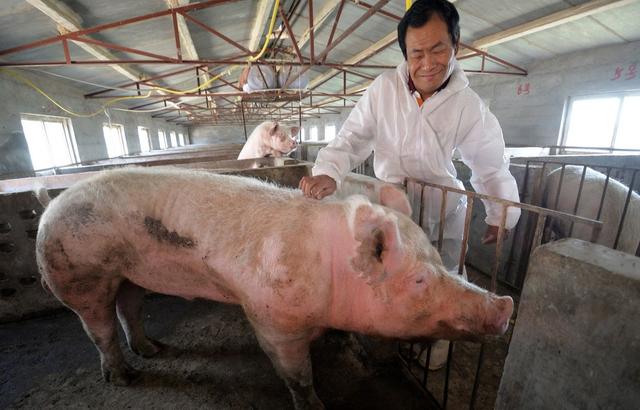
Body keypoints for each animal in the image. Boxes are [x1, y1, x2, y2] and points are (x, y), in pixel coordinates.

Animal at [36, 167, 516, 410]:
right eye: (418, 279)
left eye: (437, 257)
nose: (506, 305)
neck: (330, 271)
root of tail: (51, 202)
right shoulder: (272, 319)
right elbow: (297, 376)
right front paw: (317, 408)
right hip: (76, 271)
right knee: (98, 327)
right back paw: (125, 377)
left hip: (130, 273)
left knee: (129, 308)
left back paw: (153, 350)